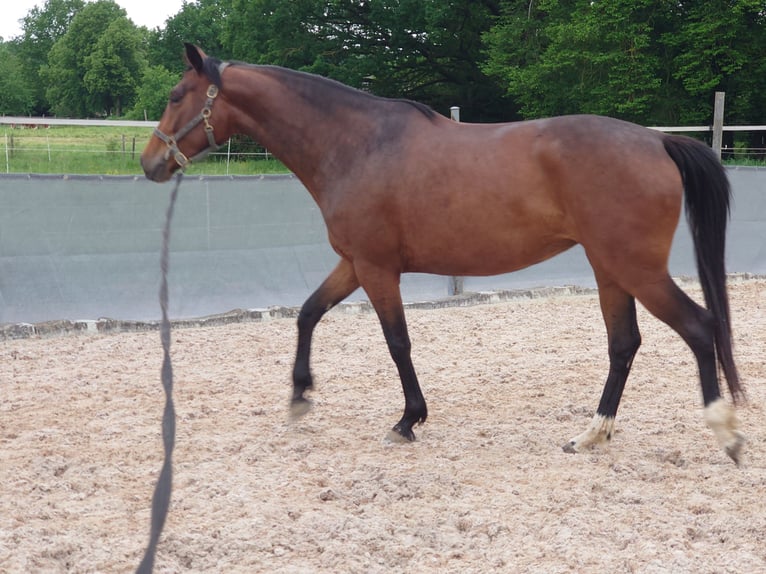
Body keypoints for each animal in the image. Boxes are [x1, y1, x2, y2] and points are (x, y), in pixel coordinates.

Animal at [141, 46, 748, 468]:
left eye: (175, 95)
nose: (150, 163)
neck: (357, 145)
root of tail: (657, 140)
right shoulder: (354, 264)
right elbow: (309, 313)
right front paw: (298, 396)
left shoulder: (377, 268)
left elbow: (397, 342)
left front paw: (408, 420)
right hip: (611, 271)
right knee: (625, 344)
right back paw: (591, 434)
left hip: (636, 270)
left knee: (700, 326)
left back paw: (725, 432)